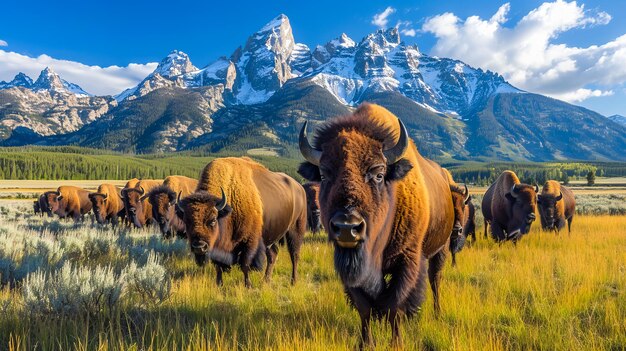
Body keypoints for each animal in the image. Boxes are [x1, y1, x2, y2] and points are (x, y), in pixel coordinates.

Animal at [174, 157, 306, 288]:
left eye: (213, 220)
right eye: (186, 221)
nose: (199, 247)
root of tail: (299, 187)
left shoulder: (249, 242)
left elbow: (244, 265)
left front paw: (248, 286)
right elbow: (218, 266)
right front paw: (219, 284)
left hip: (295, 229)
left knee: (294, 254)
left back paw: (293, 281)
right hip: (270, 235)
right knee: (273, 254)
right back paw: (266, 280)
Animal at [298, 103, 454, 348]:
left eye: (379, 174)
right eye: (323, 174)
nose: (347, 227)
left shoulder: (407, 261)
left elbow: (395, 305)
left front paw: (396, 343)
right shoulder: (351, 269)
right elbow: (364, 308)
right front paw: (366, 343)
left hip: (441, 248)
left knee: (435, 280)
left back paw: (437, 313)